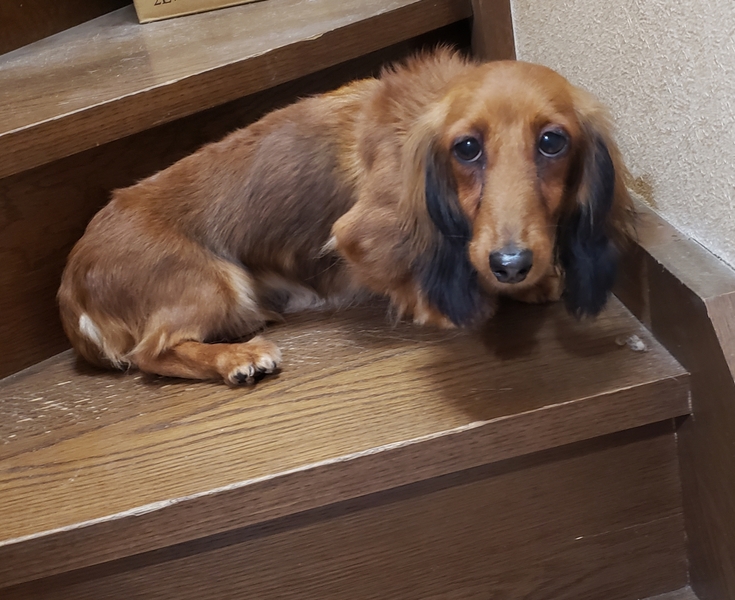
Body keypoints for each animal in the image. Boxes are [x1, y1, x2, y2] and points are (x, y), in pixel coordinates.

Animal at [58, 49, 634, 385]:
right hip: (213, 281)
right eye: (466, 149)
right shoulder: (361, 235)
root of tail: (71, 287)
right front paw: (471, 299)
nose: (511, 263)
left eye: (552, 142)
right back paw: (237, 358)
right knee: (150, 353)